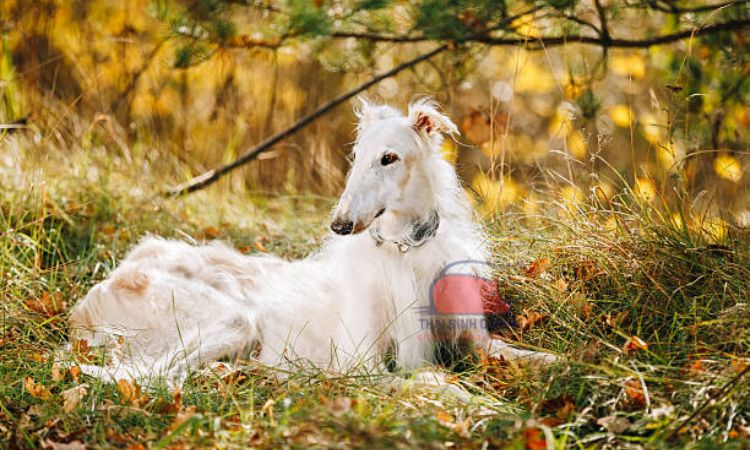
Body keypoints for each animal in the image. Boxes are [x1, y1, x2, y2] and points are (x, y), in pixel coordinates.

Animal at [69, 99, 552, 386]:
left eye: (389, 158)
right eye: (356, 156)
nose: (339, 224)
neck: (405, 250)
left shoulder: (475, 339)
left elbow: (524, 355)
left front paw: (566, 366)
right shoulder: (362, 366)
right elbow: (428, 381)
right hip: (231, 319)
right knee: (147, 375)